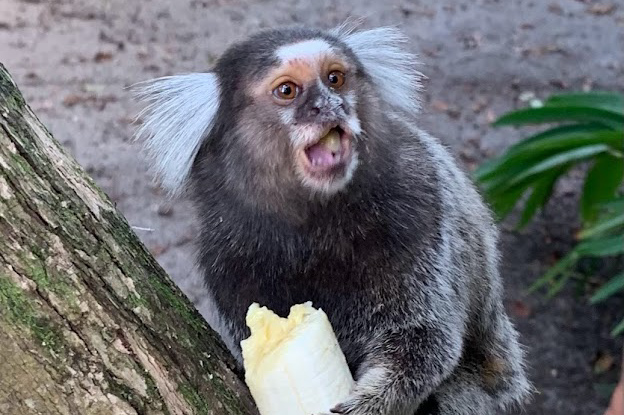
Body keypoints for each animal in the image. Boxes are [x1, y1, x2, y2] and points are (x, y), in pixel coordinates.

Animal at [133, 22, 531, 415]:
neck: (314, 226)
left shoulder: (423, 202)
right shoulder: (226, 260)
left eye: (335, 79)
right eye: (287, 90)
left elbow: (422, 338)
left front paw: (371, 400)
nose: (330, 106)